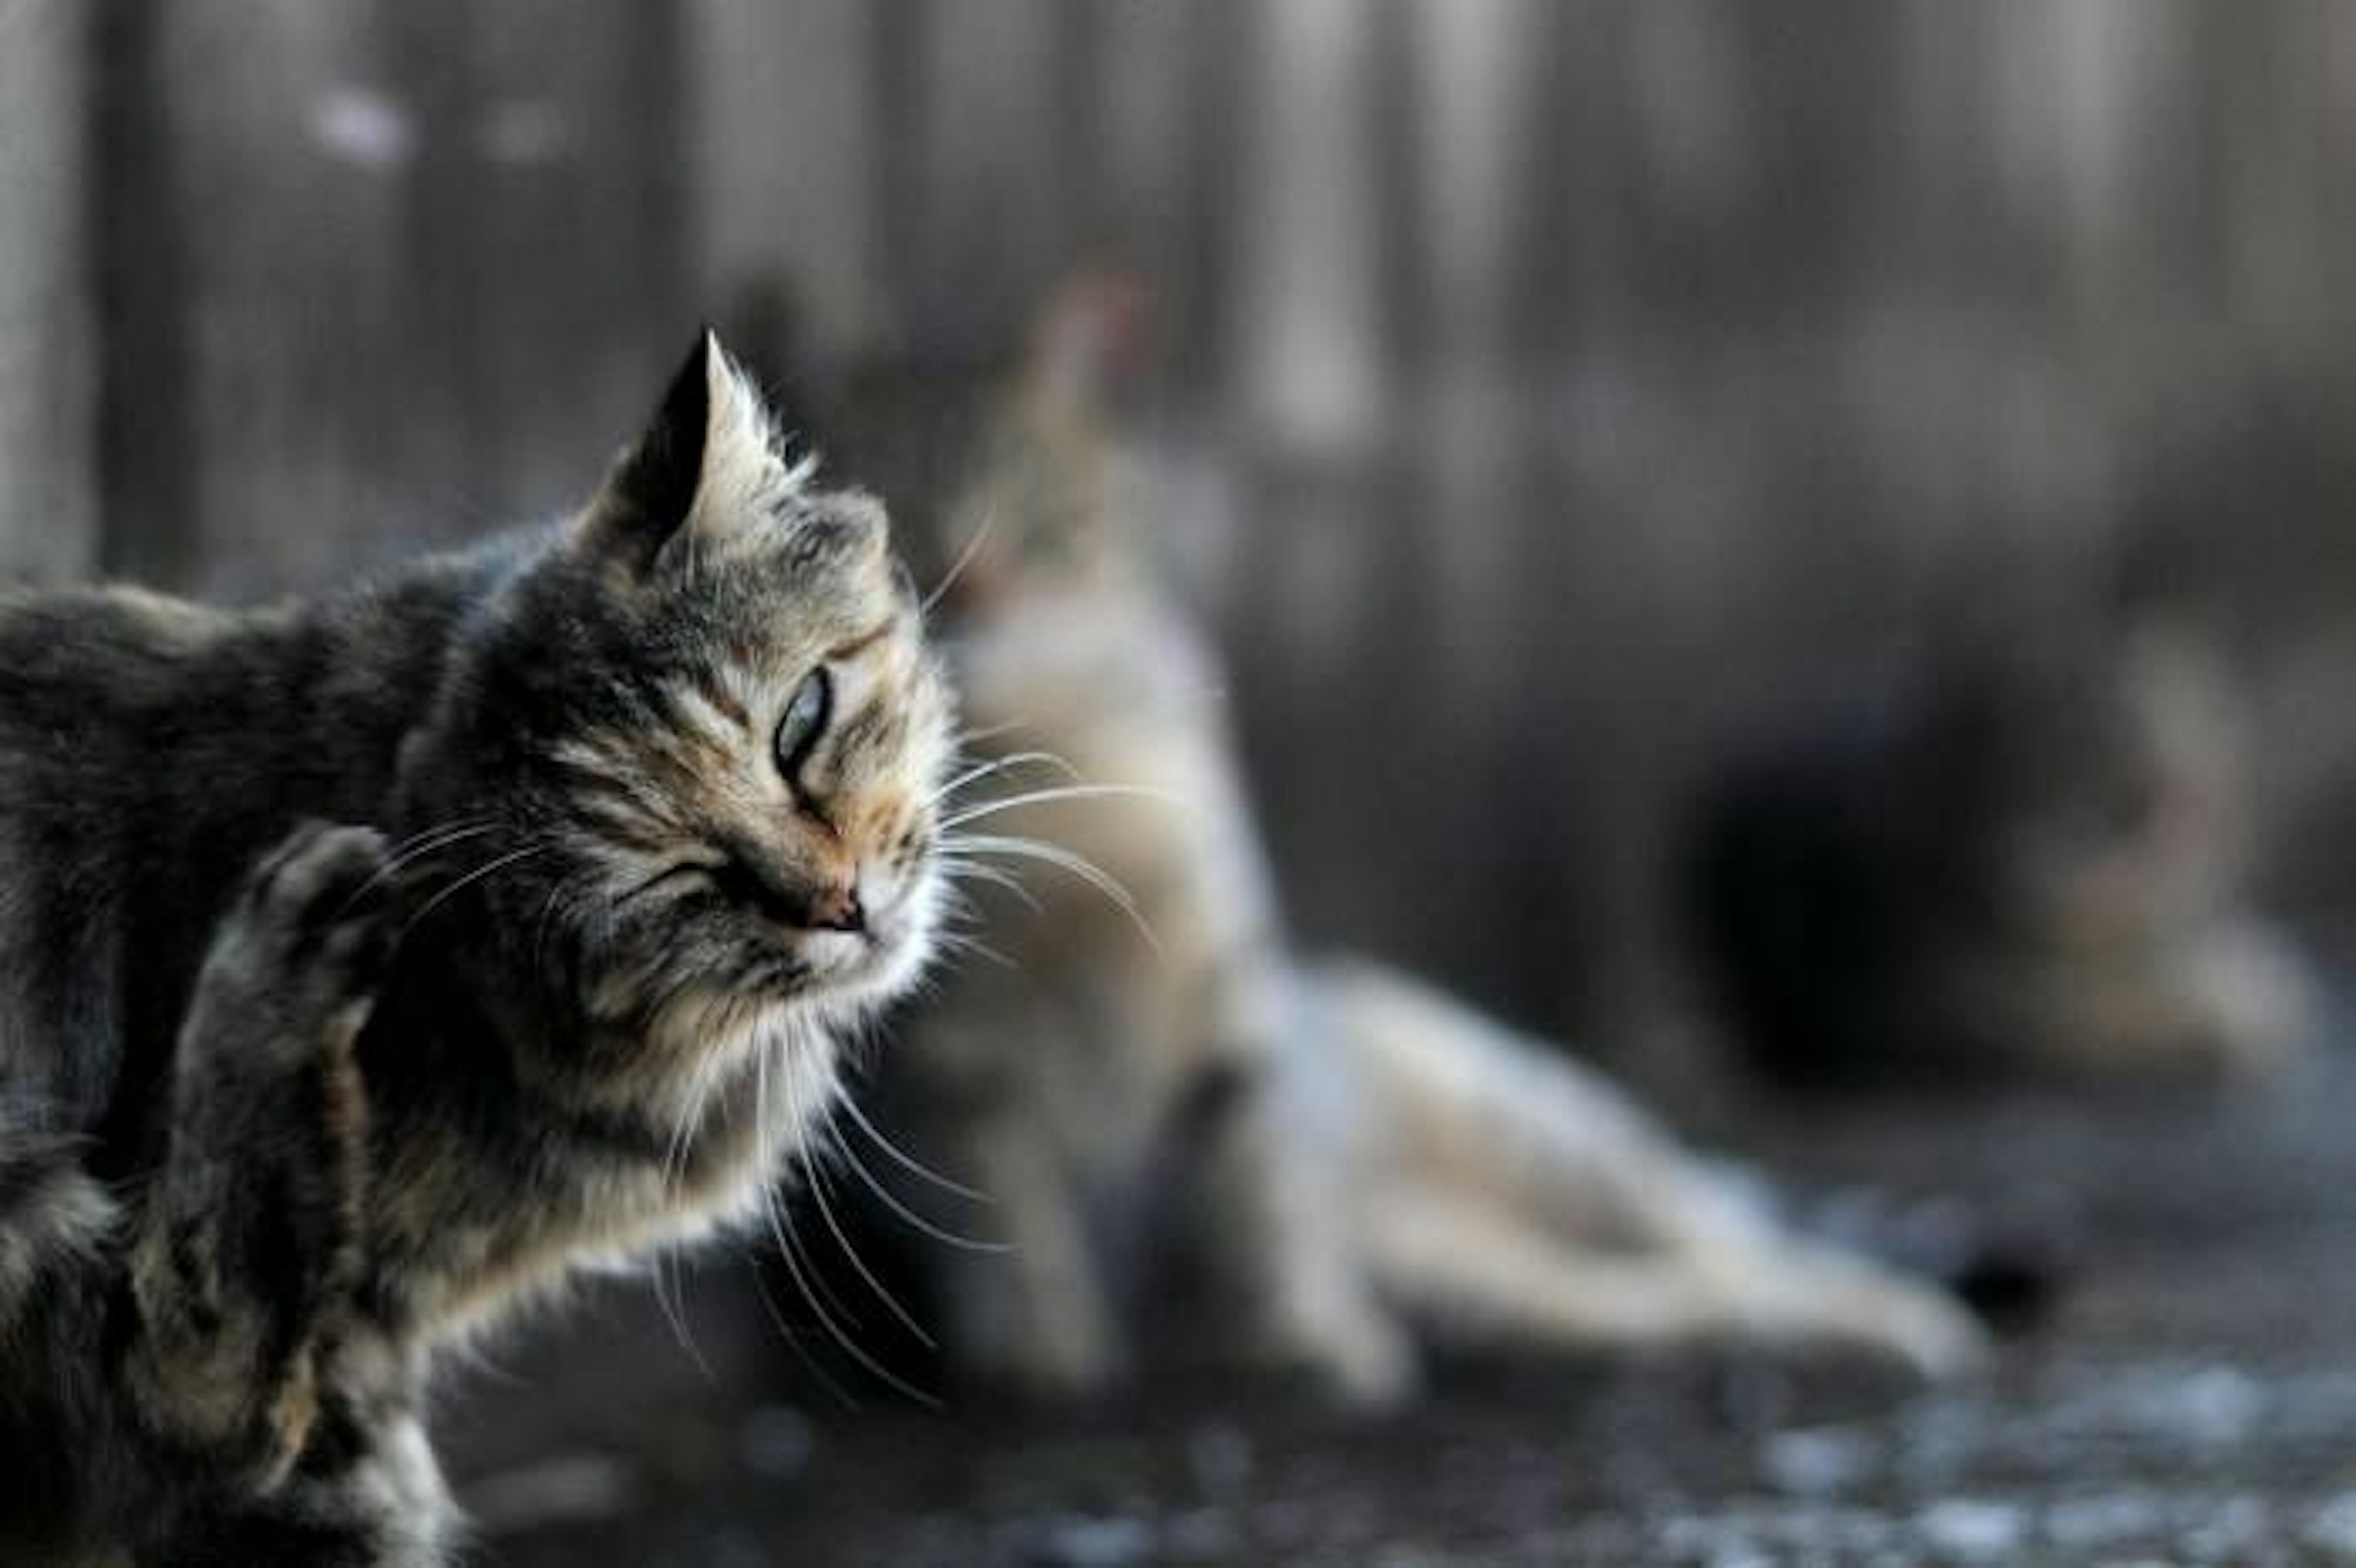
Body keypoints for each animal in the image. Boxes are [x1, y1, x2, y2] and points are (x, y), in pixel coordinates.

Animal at [2, 336, 957, 1553]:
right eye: (684, 882)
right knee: (188, 1381)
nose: (844, 905)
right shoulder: (347, 1374)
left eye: (800, 725)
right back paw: (283, 966)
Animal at [782, 277, 1979, 1403]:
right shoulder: (945, 1054)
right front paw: (1048, 1359)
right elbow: (1005, 1205)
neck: (1052, 778)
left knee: (1731, 1232)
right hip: (1508, 1291)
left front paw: (1299, 1344)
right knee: (1685, 1295)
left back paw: (1907, 1318)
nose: (980, 591)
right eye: (904, 540)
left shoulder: (1229, 993)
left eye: (1041, 517)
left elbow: (1251, 1184)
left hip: (1546, 1130)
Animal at [1687, 612, 2309, 1088]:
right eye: (2117, 796)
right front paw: (2218, 1015)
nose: (2184, 817)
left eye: (2205, 786)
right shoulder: (1956, 1009)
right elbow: (2097, 1022)